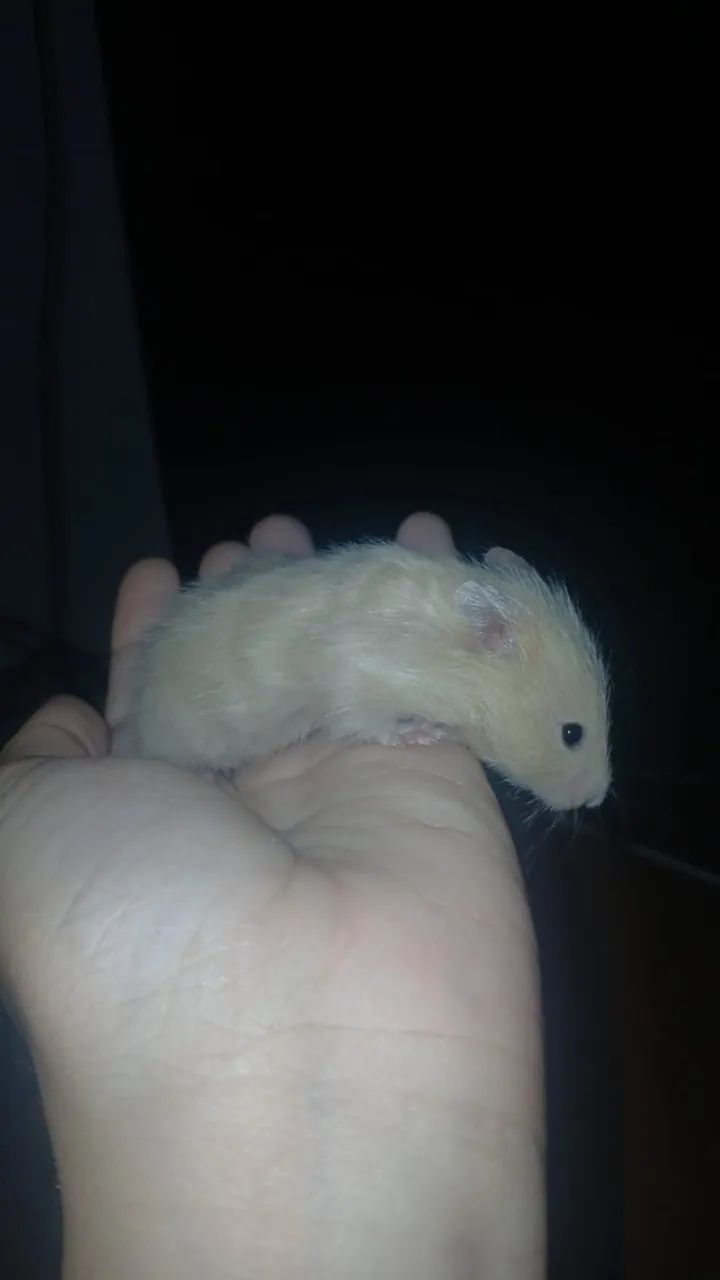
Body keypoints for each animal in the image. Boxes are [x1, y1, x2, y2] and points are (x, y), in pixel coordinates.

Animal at [117, 541, 612, 812]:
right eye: (572, 733)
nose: (597, 799)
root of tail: (137, 727)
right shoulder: (356, 680)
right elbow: (372, 724)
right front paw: (424, 733)